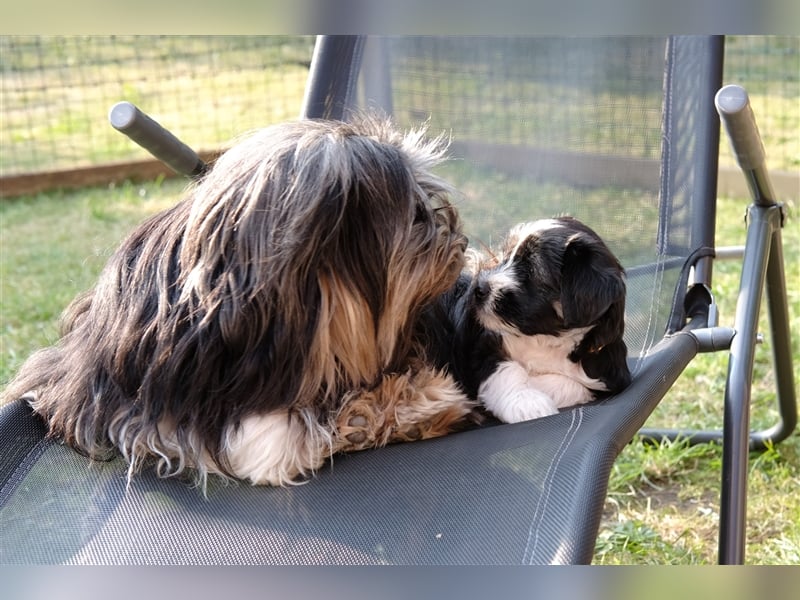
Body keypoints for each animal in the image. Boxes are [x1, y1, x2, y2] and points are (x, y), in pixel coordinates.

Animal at [418, 216, 632, 422]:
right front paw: (527, 401)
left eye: (531, 270)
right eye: (505, 257)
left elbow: (575, 384)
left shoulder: (609, 374)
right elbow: (508, 368)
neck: (545, 339)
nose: (478, 288)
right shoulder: (482, 345)